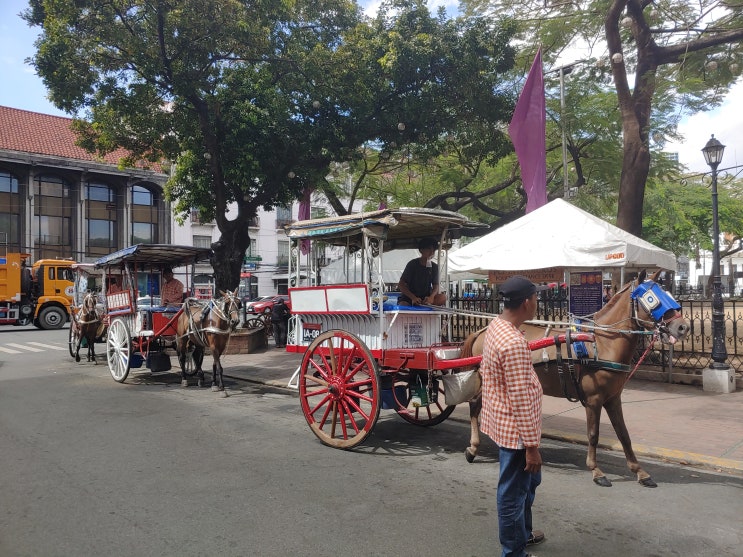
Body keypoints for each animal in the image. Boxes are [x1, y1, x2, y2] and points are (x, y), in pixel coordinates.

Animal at [462, 270, 688, 486]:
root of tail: (482, 330)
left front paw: (639, 471)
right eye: (651, 299)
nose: (682, 327)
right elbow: (593, 435)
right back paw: (473, 447)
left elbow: (623, 434)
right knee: (475, 406)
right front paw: (596, 471)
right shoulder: (594, 400)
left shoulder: (613, 399)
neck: (602, 343)